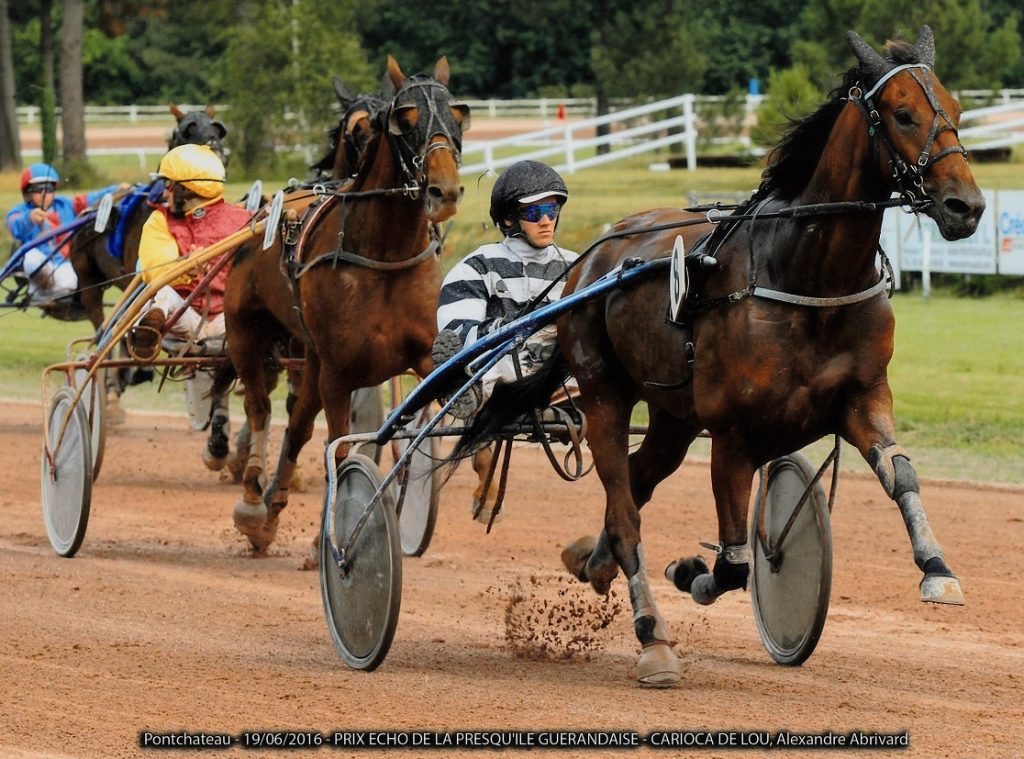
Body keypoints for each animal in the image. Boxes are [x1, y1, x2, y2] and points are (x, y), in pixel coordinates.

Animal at [220, 54, 468, 549]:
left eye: (458, 116)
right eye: (405, 119)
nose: (444, 190)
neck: (383, 254)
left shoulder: (422, 354)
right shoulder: (338, 371)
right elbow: (340, 450)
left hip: (308, 354)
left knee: (297, 424)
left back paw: (272, 506)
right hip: (245, 333)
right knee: (259, 408)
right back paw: (254, 499)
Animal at [456, 26, 983, 684]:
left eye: (957, 110)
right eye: (903, 113)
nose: (967, 206)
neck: (807, 275)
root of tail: (590, 262)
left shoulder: (862, 397)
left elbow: (901, 474)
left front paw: (938, 570)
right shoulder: (733, 433)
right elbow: (734, 562)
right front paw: (690, 573)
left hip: (673, 416)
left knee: (637, 479)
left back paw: (592, 560)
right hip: (603, 394)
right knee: (625, 509)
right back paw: (652, 636)